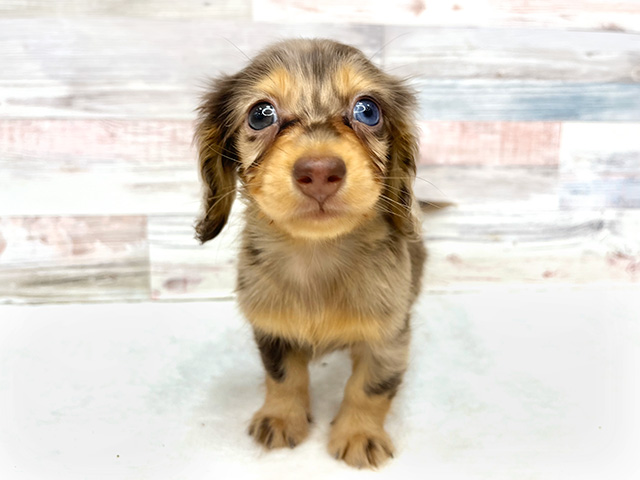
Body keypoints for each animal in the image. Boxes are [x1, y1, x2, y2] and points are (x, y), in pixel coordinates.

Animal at [194, 38, 424, 468]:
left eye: (368, 110)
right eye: (261, 115)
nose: (319, 171)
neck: (317, 256)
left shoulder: (389, 336)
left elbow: (370, 388)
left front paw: (359, 434)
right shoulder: (271, 326)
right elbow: (284, 376)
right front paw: (282, 418)